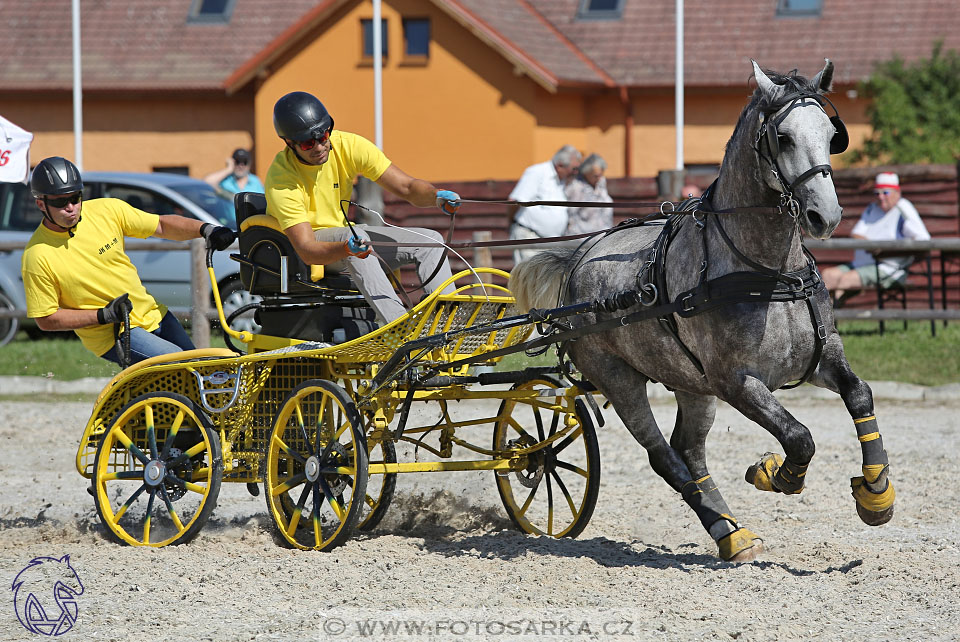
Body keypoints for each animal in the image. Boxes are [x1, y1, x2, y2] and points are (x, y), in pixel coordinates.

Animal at [512, 61, 896, 560]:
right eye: (784, 137)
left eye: (832, 134)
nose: (824, 216)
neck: (769, 275)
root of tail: (577, 259)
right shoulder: (735, 382)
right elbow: (798, 437)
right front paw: (776, 474)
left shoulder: (821, 360)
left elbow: (860, 395)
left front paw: (876, 495)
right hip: (620, 380)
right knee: (665, 455)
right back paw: (726, 529)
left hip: (690, 383)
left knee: (690, 451)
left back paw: (732, 533)